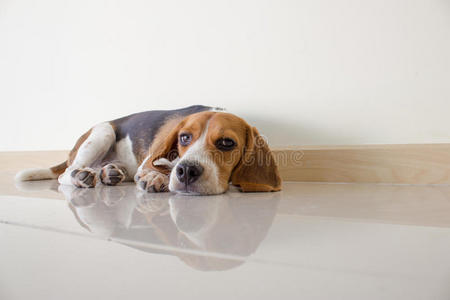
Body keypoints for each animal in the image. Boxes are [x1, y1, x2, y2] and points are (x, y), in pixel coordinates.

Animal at [15, 105, 282, 195]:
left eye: (227, 143)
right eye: (184, 137)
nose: (187, 172)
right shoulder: (150, 160)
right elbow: (158, 168)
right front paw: (157, 177)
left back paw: (109, 174)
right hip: (104, 132)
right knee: (65, 174)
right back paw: (80, 176)